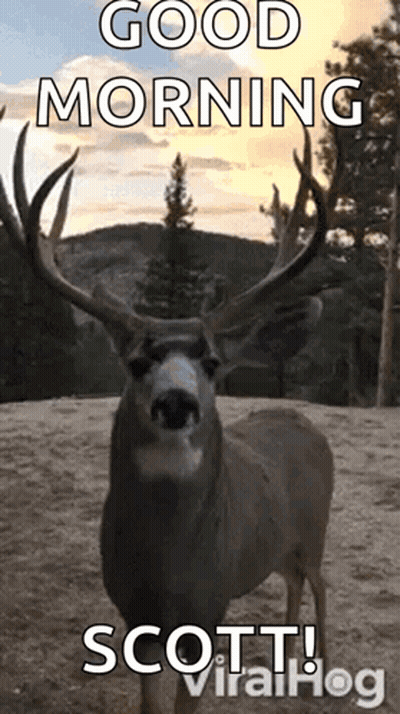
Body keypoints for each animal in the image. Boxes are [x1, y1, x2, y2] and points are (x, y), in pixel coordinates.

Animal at [0, 107, 333, 713]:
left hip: (315, 529)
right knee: (294, 581)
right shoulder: (135, 616)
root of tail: (304, 422)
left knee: (320, 581)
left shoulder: (208, 611)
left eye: (212, 361)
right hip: (277, 545)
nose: (176, 401)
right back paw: (285, 663)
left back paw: (318, 668)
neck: (167, 568)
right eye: (136, 361)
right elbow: (150, 704)